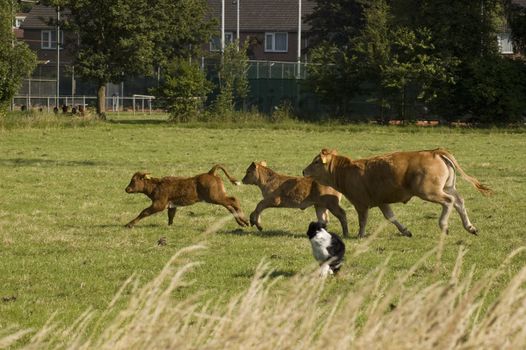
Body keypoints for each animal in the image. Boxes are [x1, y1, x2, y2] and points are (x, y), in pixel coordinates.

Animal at [304, 148, 492, 238]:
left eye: (316, 162)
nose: (303, 171)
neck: (347, 171)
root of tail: (434, 152)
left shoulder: (361, 203)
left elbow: (362, 220)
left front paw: (360, 235)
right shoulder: (382, 201)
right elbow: (391, 217)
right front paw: (405, 231)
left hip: (430, 192)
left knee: (449, 201)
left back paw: (444, 225)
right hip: (447, 186)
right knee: (459, 201)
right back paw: (470, 227)